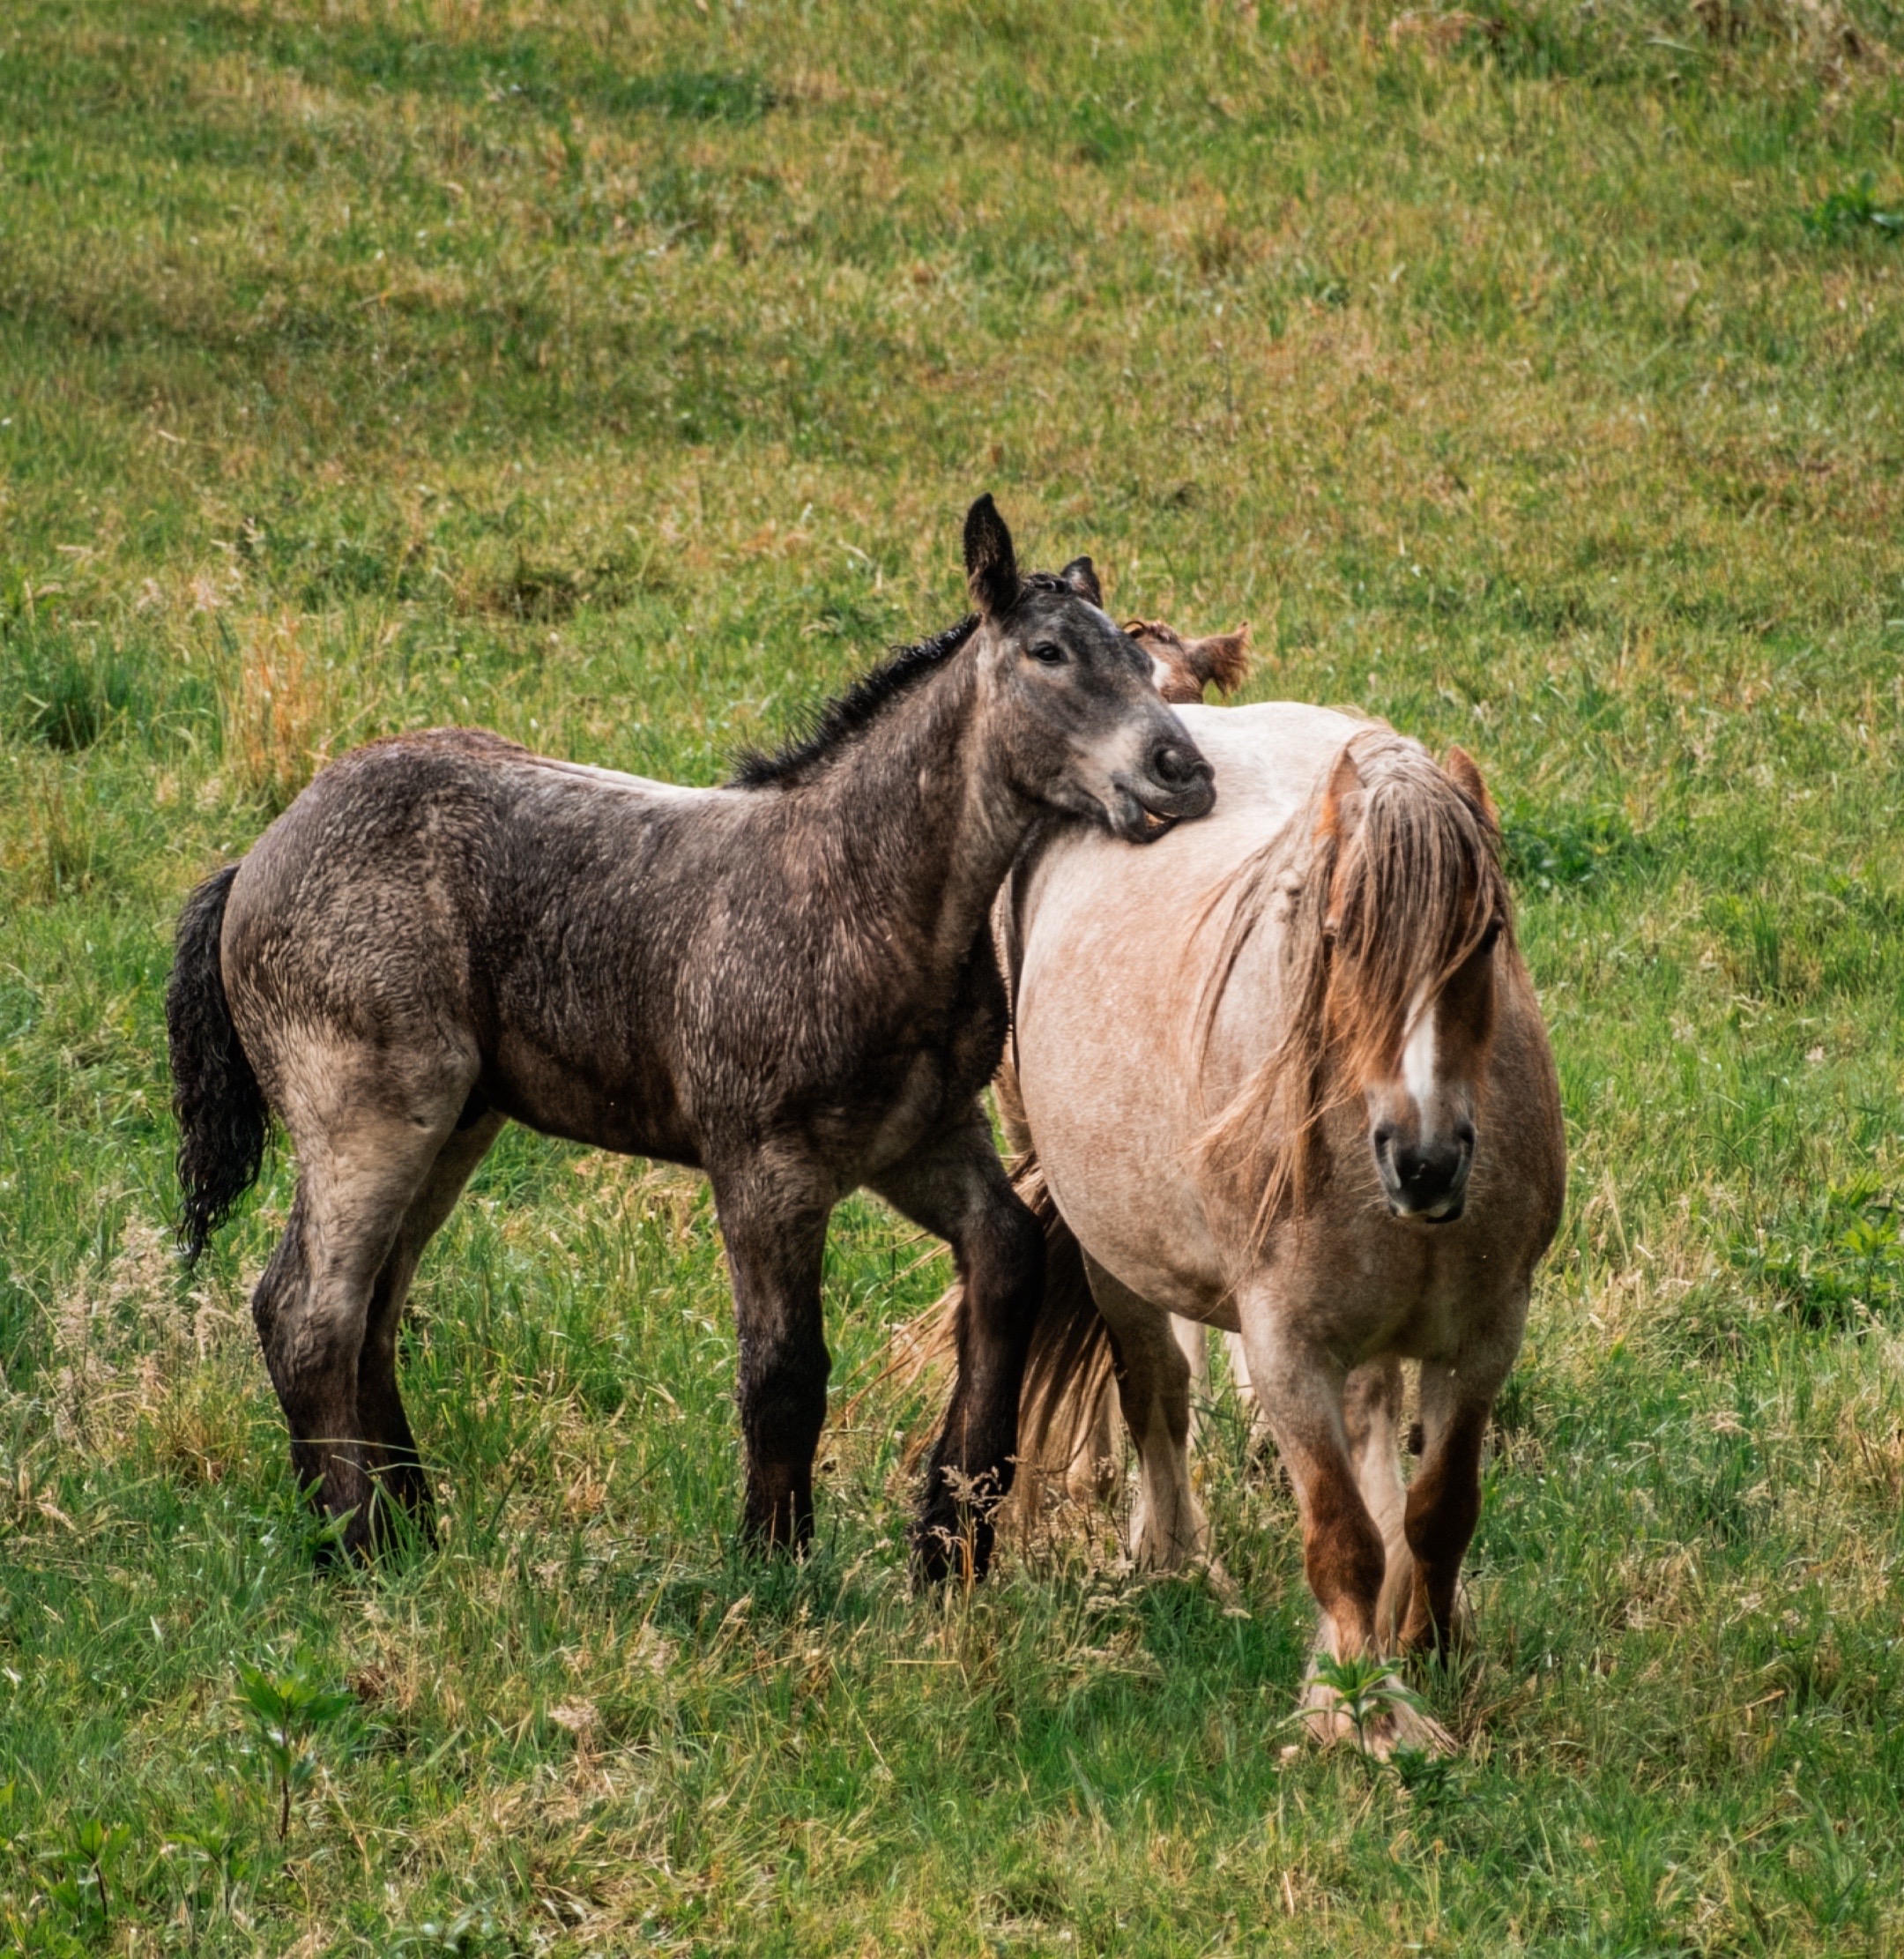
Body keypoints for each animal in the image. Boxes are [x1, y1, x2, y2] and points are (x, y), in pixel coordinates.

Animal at [165, 495, 1217, 1574]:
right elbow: (785, 1371)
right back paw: (354, 1539)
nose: (1184, 772)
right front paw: (774, 1562)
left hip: (457, 1121)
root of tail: (255, 858)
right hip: (366, 1108)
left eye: (1143, 667)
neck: (861, 893)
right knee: (309, 1310)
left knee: (372, 1305)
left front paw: (949, 1541)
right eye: (1049, 653)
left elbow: (1007, 1263)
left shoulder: (923, 1137)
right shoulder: (764, 1166)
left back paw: (410, 1523)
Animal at [929, 703, 1564, 1752]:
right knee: (1156, 1392)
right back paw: (1175, 1560)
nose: (1424, 1161)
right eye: (1340, 935)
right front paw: (1358, 1713)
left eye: (1487, 938)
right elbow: (1342, 1538)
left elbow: (1438, 1512)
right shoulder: (1286, 1350)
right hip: (1116, 1262)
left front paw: (1429, 1653)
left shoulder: (1485, 1336)